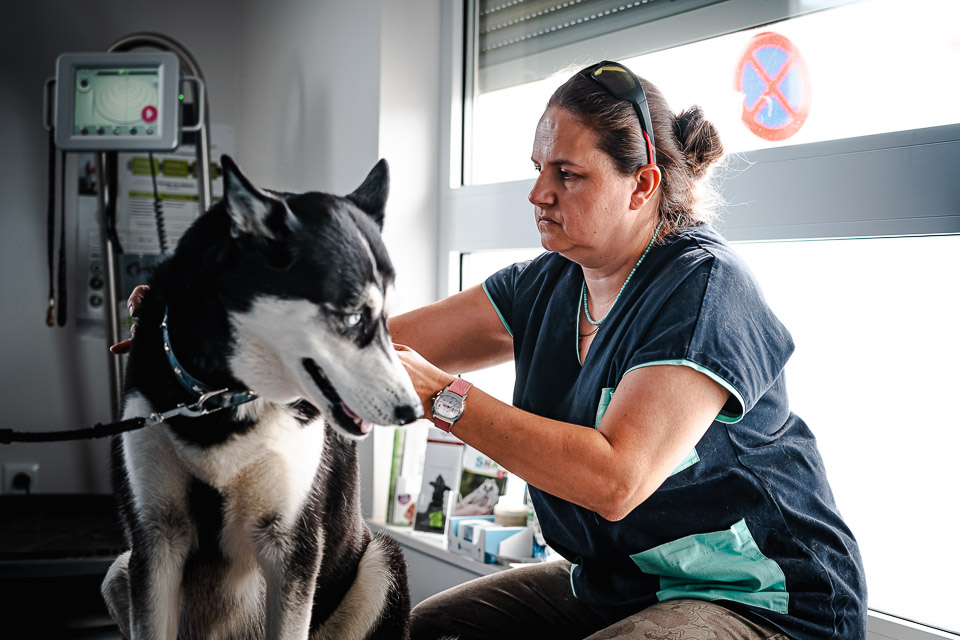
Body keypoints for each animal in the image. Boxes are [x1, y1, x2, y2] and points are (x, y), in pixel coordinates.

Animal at [100, 156, 424, 640]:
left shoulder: (290, 544)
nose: (413, 411)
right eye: (352, 316)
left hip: (381, 561)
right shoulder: (157, 539)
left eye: (388, 318)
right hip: (118, 572)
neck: (221, 398)